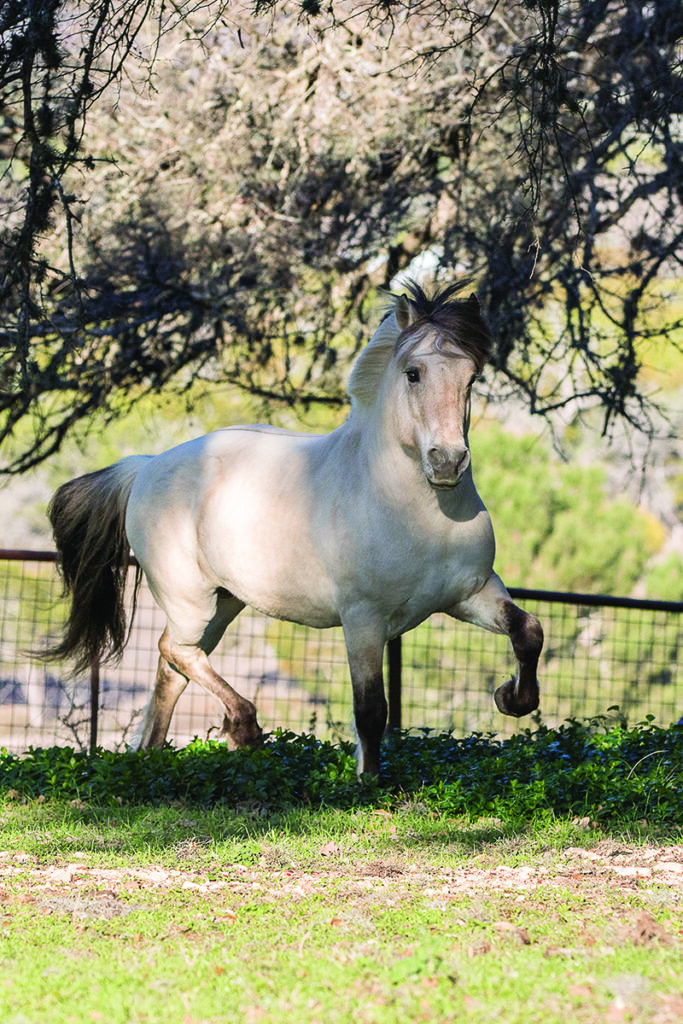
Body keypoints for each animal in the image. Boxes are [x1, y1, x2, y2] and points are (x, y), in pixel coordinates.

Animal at [45, 280, 540, 774]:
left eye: (471, 378)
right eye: (413, 373)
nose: (447, 461)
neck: (418, 515)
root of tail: (145, 466)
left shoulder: (472, 593)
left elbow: (528, 631)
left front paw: (511, 698)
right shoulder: (363, 619)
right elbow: (370, 710)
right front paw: (370, 781)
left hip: (224, 602)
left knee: (174, 666)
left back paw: (152, 757)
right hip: (188, 597)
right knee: (177, 652)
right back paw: (243, 728)